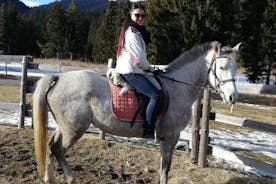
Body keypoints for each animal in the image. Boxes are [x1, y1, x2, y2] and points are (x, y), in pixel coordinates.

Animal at [31, 41, 239, 183]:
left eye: (235, 68)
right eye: (221, 67)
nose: (233, 97)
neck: (177, 87)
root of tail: (59, 78)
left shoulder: (167, 138)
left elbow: (163, 166)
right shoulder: (171, 136)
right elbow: (166, 167)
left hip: (64, 127)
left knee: (50, 146)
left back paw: (50, 178)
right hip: (74, 129)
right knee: (58, 149)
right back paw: (70, 178)